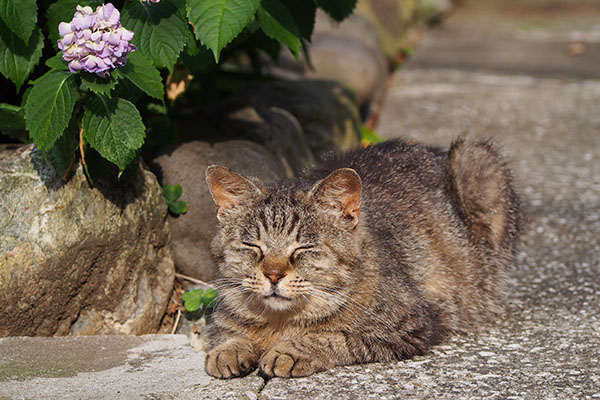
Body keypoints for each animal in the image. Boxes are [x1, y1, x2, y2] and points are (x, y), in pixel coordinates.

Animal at [203, 139, 520, 380]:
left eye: (303, 247)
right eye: (252, 245)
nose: (273, 274)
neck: (280, 321)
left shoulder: (412, 327)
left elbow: (335, 337)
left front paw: (291, 350)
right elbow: (226, 331)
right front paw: (229, 349)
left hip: (476, 159)